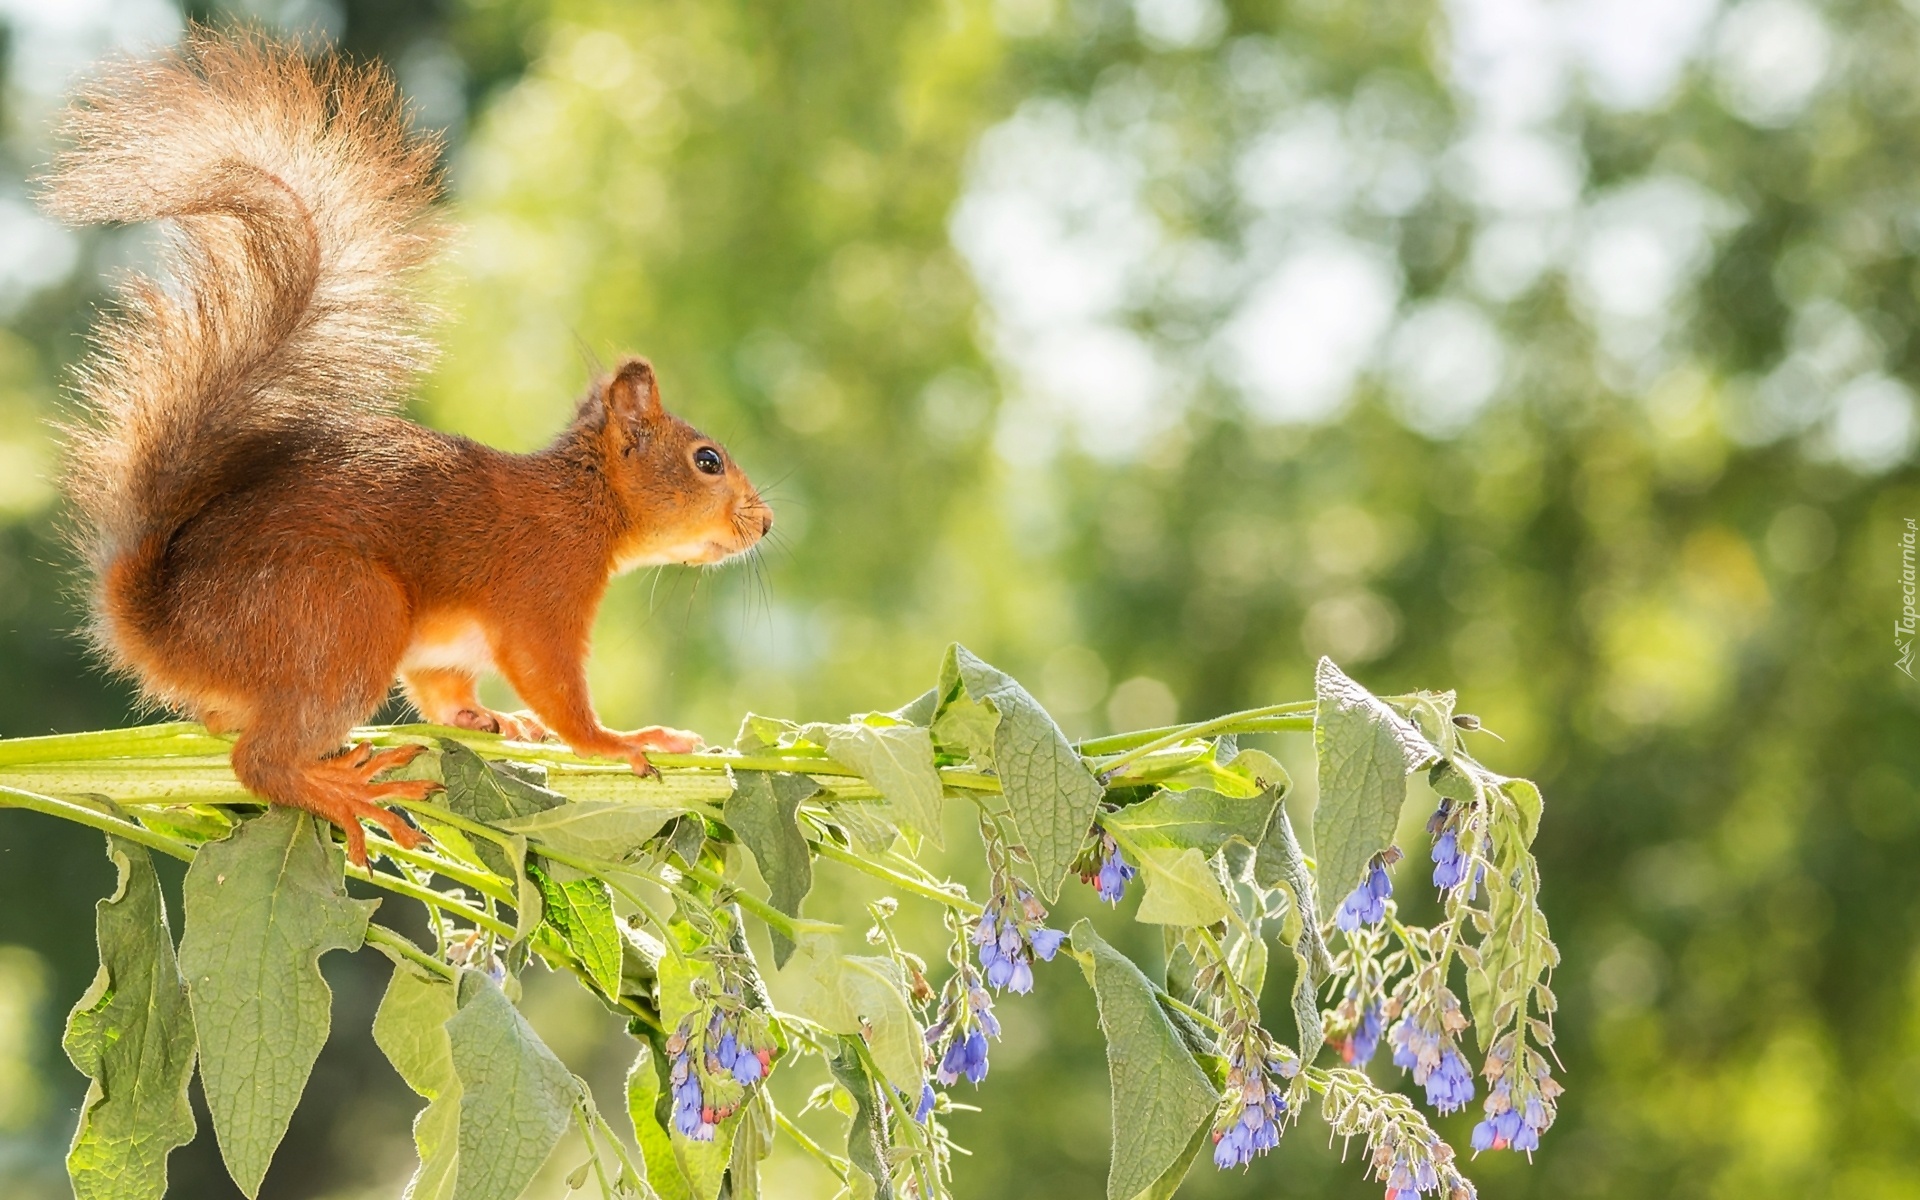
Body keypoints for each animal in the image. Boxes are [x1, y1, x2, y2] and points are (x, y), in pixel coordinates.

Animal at [41, 32, 768, 864]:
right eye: (707, 461)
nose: (766, 522)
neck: (588, 504)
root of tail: (162, 625)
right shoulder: (543, 591)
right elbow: (557, 691)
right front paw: (620, 742)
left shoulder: (448, 650)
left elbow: (446, 691)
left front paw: (492, 721)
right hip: (344, 614)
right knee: (259, 761)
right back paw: (347, 792)